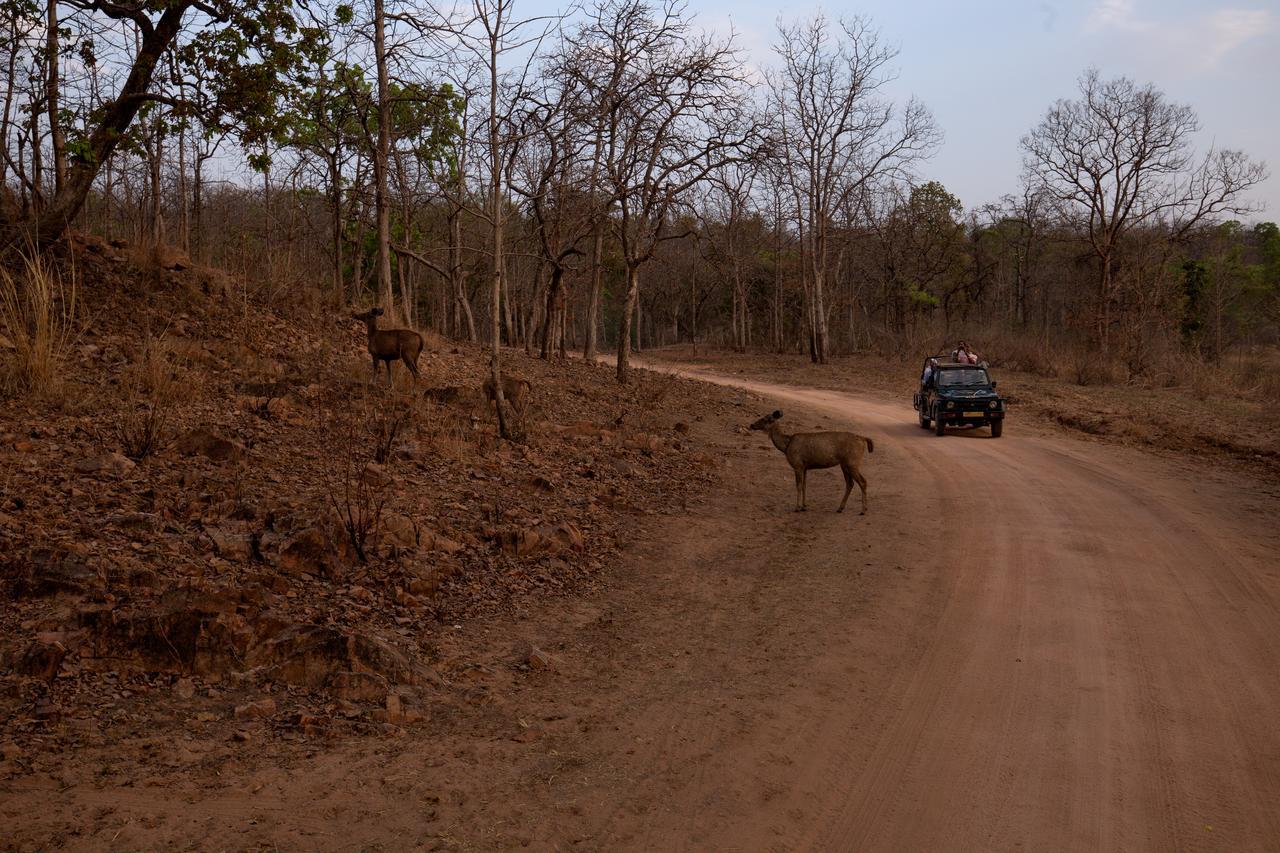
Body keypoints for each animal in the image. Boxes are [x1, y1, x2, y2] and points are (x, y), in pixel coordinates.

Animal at [747, 407, 875, 512]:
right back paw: (840, 508)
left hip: (852, 461)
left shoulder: (797, 465)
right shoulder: (805, 467)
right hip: (845, 464)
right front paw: (804, 506)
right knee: (850, 483)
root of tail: (863, 439)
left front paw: (797, 507)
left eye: (765, 419)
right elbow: (804, 485)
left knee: (862, 481)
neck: (786, 446)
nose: (752, 425)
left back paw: (863, 510)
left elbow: (798, 485)